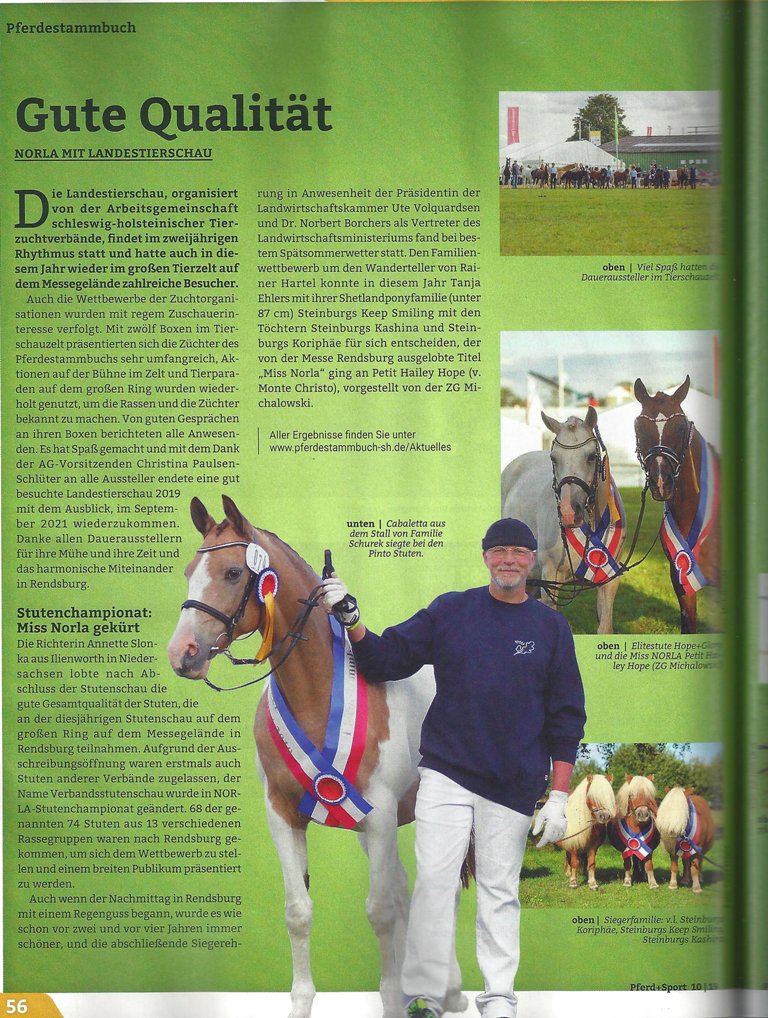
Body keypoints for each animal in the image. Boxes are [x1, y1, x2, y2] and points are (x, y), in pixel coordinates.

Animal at [167, 496, 468, 1018]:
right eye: (189, 571)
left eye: (232, 572)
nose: (182, 653)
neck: (318, 694)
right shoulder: (285, 814)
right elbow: (299, 912)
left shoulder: (380, 816)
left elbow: (379, 910)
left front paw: (391, 997)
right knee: (410, 890)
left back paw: (448, 992)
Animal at [501, 406, 626, 634]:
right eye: (554, 458)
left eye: (591, 456)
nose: (568, 512)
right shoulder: (551, 578)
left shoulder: (609, 581)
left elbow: (605, 628)